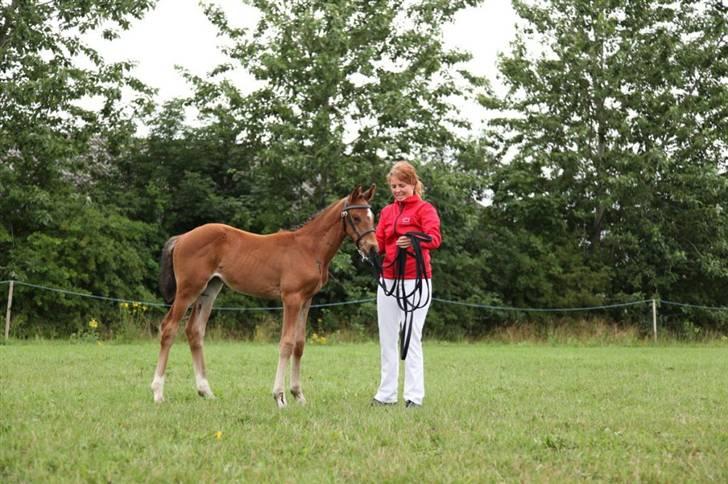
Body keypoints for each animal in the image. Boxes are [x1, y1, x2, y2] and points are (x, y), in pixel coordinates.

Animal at [151, 184, 378, 404]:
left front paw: (298, 395)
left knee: (194, 330)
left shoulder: (307, 300)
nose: (373, 248)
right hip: (188, 289)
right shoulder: (291, 298)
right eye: (356, 217)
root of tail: (182, 237)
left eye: (372, 217)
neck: (308, 248)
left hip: (210, 288)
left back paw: (205, 391)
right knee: (169, 327)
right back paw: (158, 392)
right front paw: (280, 396)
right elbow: (286, 343)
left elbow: (299, 344)